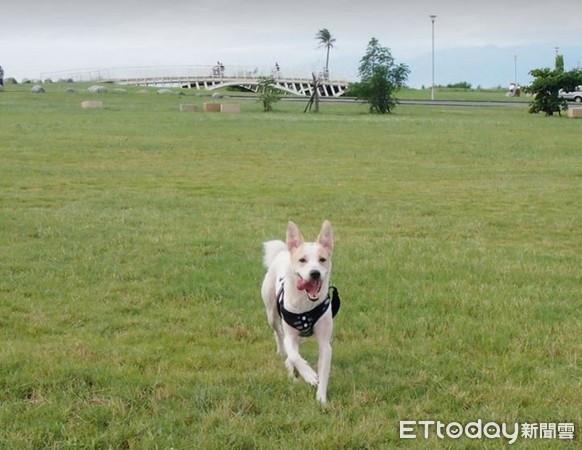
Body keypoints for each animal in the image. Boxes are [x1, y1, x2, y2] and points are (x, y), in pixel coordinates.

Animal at [262, 220, 340, 402]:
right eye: (302, 260)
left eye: (322, 259)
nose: (315, 273)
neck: (305, 304)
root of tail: (284, 252)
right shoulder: (290, 335)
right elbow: (294, 354)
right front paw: (309, 375)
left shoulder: (325, 343)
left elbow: (323, 370)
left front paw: (321, 399)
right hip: (271, 312)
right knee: (279, 334)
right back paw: (285, 359)